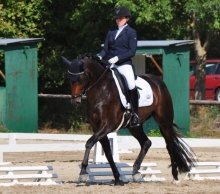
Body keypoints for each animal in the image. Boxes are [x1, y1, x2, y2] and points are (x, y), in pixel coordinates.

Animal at [61, 52, 196, 186]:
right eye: (69, 78)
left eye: (81, 78)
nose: (75, 101)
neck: (101, 90)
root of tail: (158, 81)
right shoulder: (97, 127)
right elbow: (108, 152)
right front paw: (117, 178)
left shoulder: (108, 125)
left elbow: (89, 143)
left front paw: (83, 172)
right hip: (134, 127)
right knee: (146, 142)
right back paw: (136, 172)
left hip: (164, 122)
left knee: (170, 146)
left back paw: (175, 177)